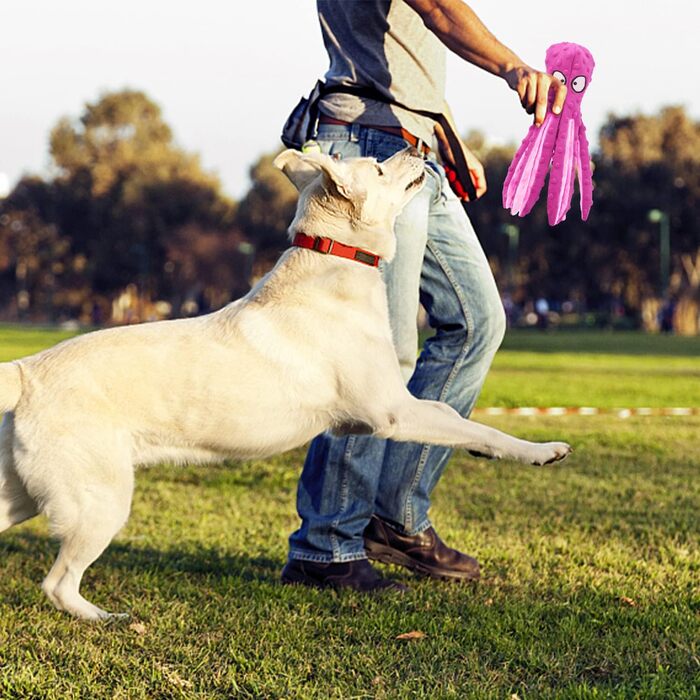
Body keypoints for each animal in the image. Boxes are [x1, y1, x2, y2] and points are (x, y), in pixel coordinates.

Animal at [0, 148, 568, 616]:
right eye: (378, 166)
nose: (417, 145)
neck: (334, 258)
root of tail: (28, 370)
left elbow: (455, 418)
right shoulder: (392, 412)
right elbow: (476, 426)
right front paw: (540, 450)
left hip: (26, 492)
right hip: (100, 501)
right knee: (58, 584)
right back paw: (107, 618)